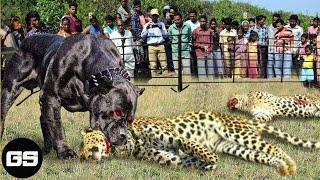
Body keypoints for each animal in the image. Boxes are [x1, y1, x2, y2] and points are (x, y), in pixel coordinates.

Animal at [0, 34, 144, 159]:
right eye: (117, 113)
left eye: (130, 120)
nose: (123, 136)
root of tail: (24, 41)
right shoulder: (51, 96)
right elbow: (57, 126)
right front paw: (65, 152)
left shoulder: (48, 99)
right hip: (10, 89)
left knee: (44, 118)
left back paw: (48, 147)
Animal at [115, 110, 320, 176]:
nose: (119, 151)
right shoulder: (169, 157)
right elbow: (186, 159)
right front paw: (208, 166)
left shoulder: (172, 135)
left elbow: (190, 145)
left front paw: (209, 158)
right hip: (235, 147)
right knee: (263, 154)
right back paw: (282, 167)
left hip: (237, 133)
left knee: (274, 147)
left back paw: (291, 164)